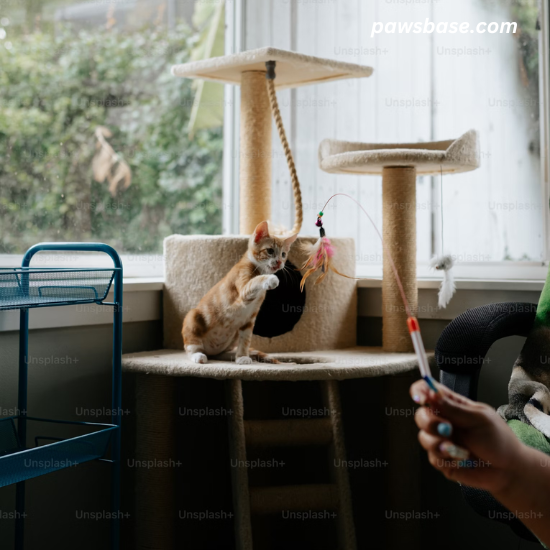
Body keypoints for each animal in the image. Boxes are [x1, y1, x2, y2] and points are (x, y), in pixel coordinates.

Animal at [183, 222, 298, 364]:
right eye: (270, 251)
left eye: (283, 254)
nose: (279, 262)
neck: (259, 269)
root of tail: (213, 353)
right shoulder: (243, 291)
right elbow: (254, 281)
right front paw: (270, 279)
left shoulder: (249, 319)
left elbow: (245, 340)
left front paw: (242, 356)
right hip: (193, 317)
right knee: (191, 347)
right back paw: (198, 355)